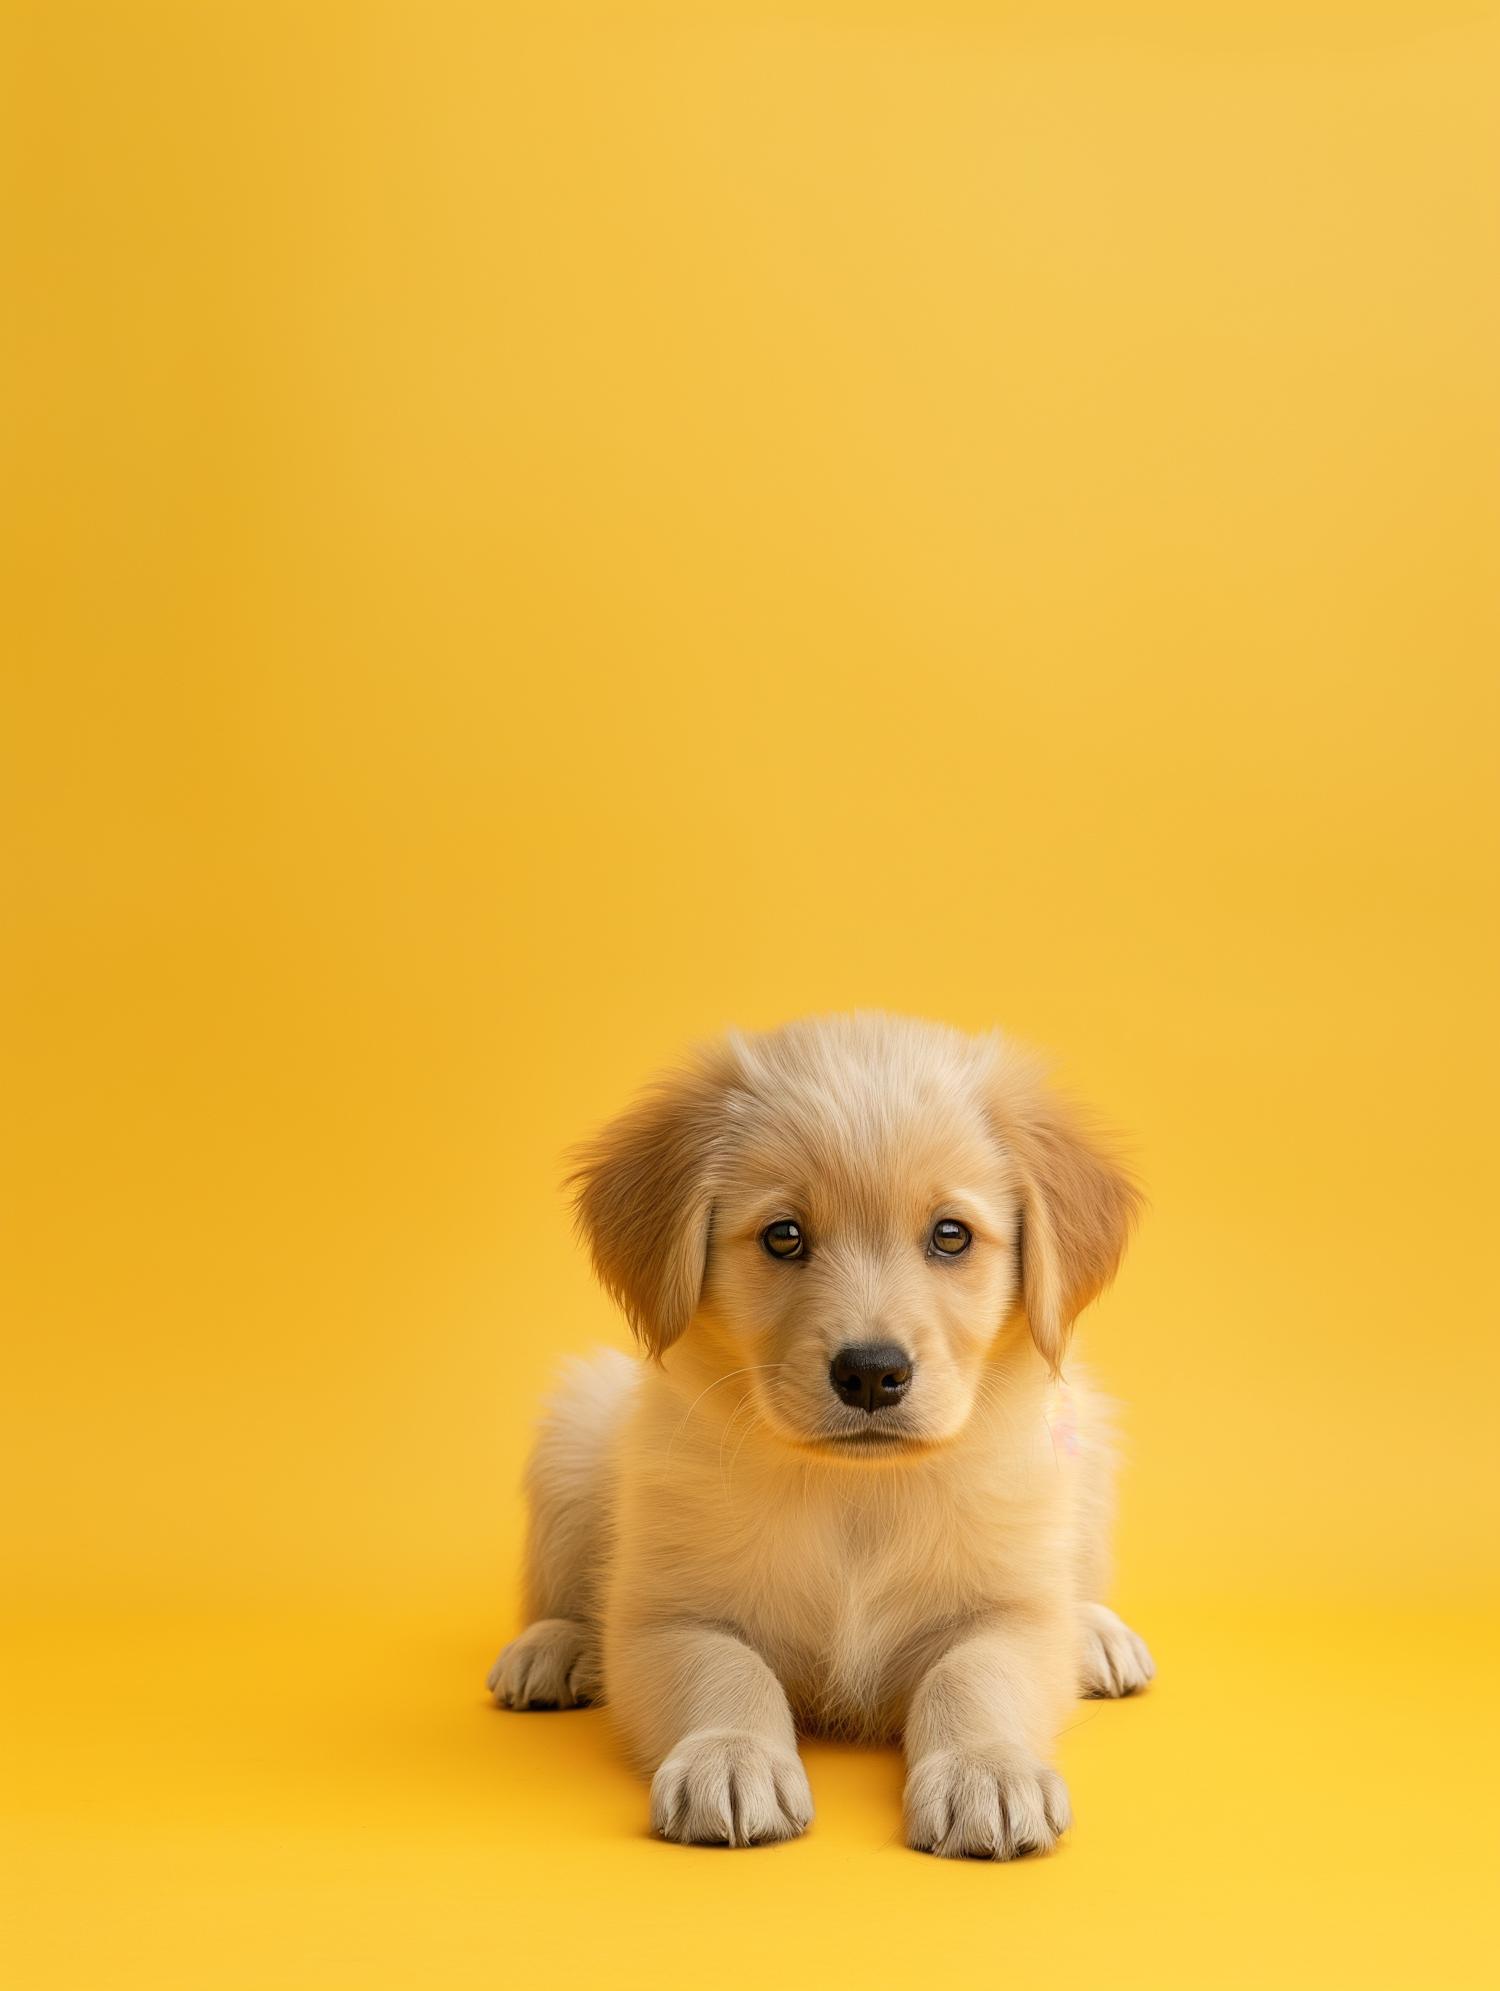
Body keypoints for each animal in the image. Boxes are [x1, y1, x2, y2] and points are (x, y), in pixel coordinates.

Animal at [486, 1019, 1155, 1855]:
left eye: (951, 1235)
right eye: (783, 1236)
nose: (871, 1373)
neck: (854, 1492)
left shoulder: (1015, 1611)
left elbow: (972, 1674)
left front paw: (987, 1768)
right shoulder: (664, 1614)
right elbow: (727, 1666)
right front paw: (732, 1757)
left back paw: (1097, 1635)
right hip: (575, 1433)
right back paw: (551, 1646)